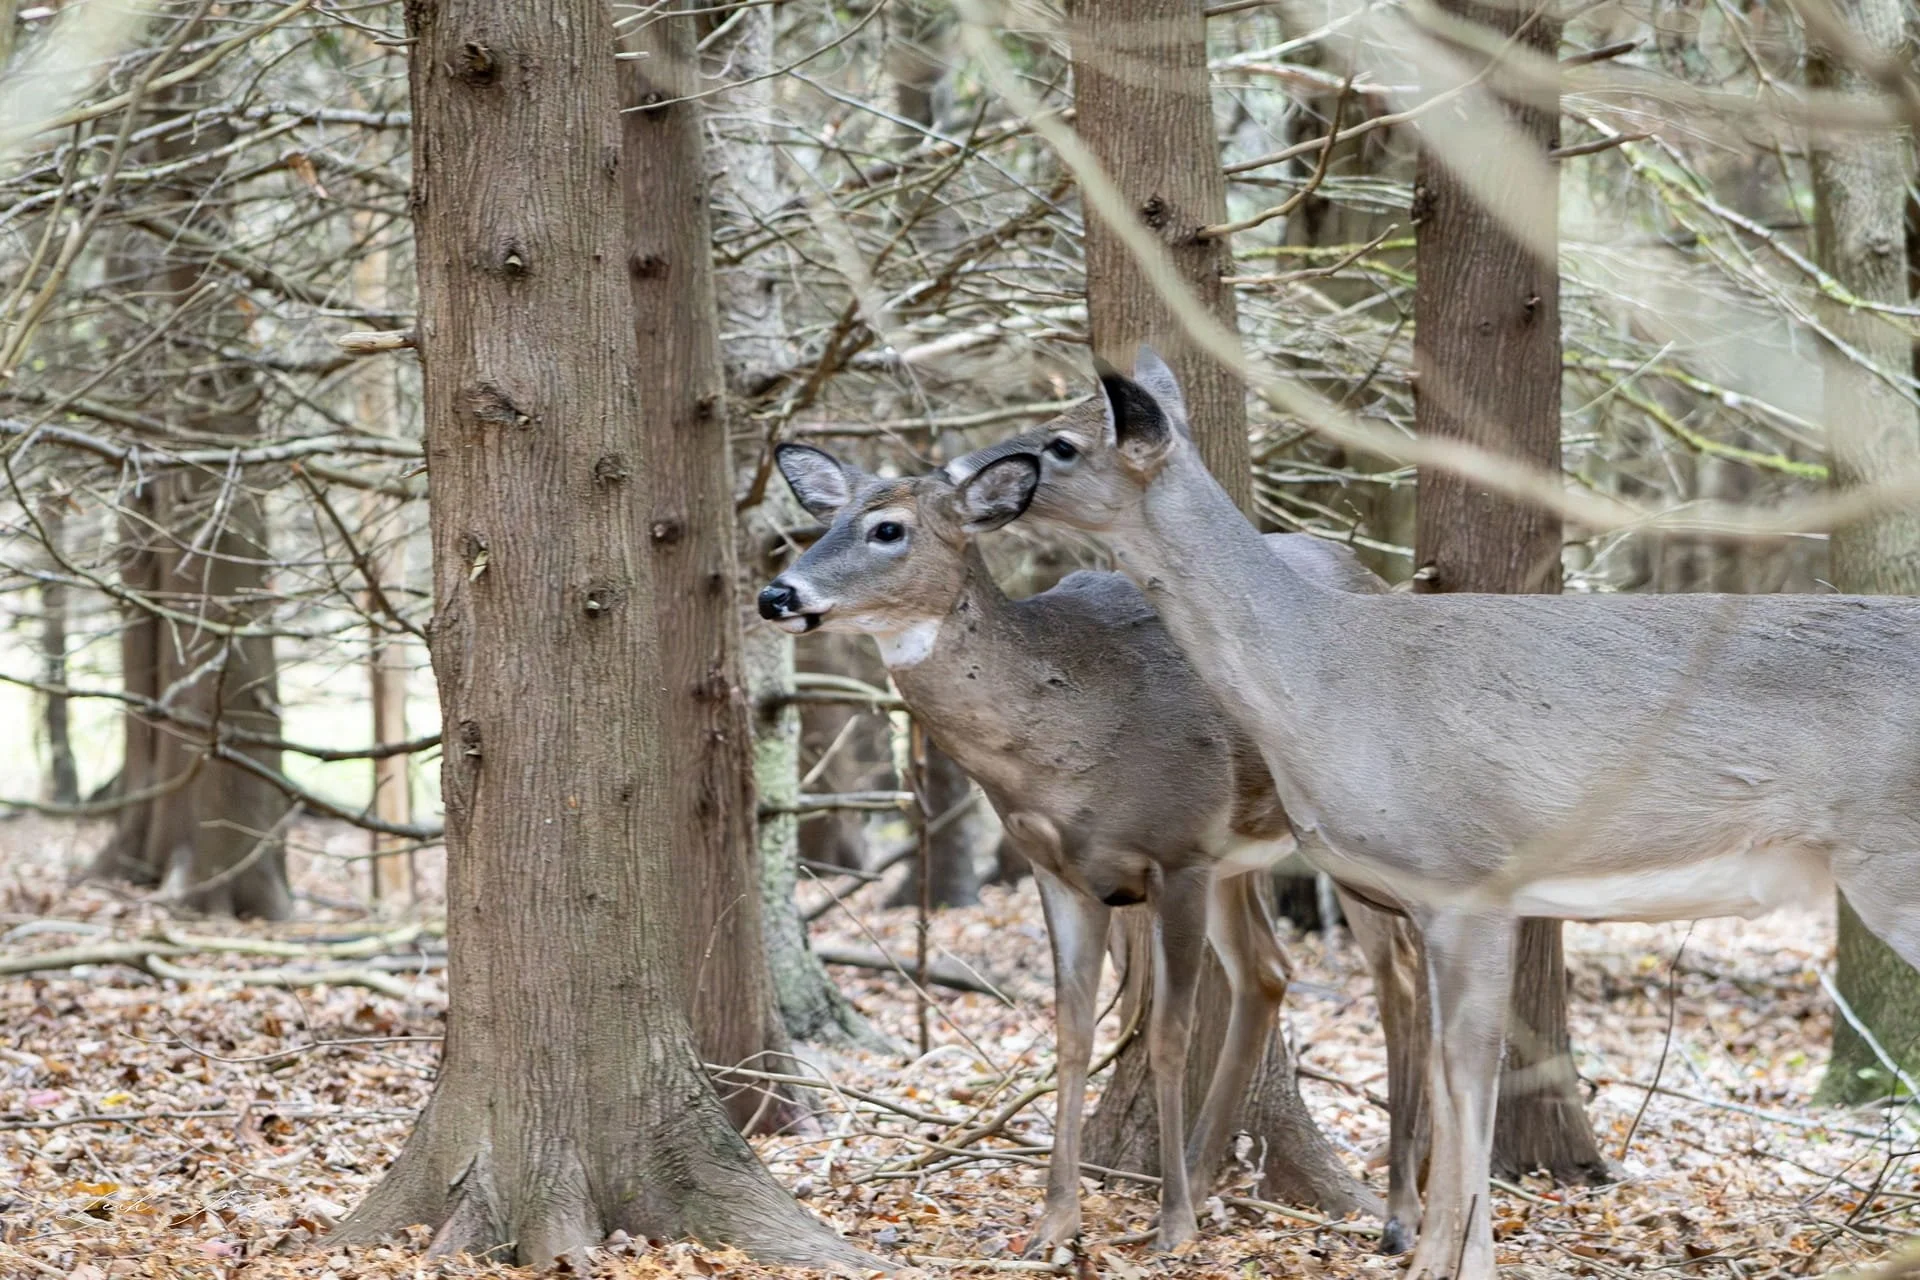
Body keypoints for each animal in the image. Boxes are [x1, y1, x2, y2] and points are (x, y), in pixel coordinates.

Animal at [757, 442, 1428, 1255]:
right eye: (825, 520)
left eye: (889, 528)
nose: (775, 596)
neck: (1071, 731)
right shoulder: (1060, 870)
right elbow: (1073, 1033)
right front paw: (1054, 1224)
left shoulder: (1179, 853)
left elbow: (1167, 1035)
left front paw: (1172, 1226)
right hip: (1241, 857)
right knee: (1270, 970)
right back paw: (1205, 1174)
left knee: (1400, 974)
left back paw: (1401, 1214)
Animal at [950, 346, 1920, 1280]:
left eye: (1063, 444)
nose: (963, 471)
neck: (1325, 676)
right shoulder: (1429, 894)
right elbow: (1457, 1072)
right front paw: (1428, 1252)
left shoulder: (1470, 877)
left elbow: (1471, 1070)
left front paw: (1459, 1261)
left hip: (1894, 862)